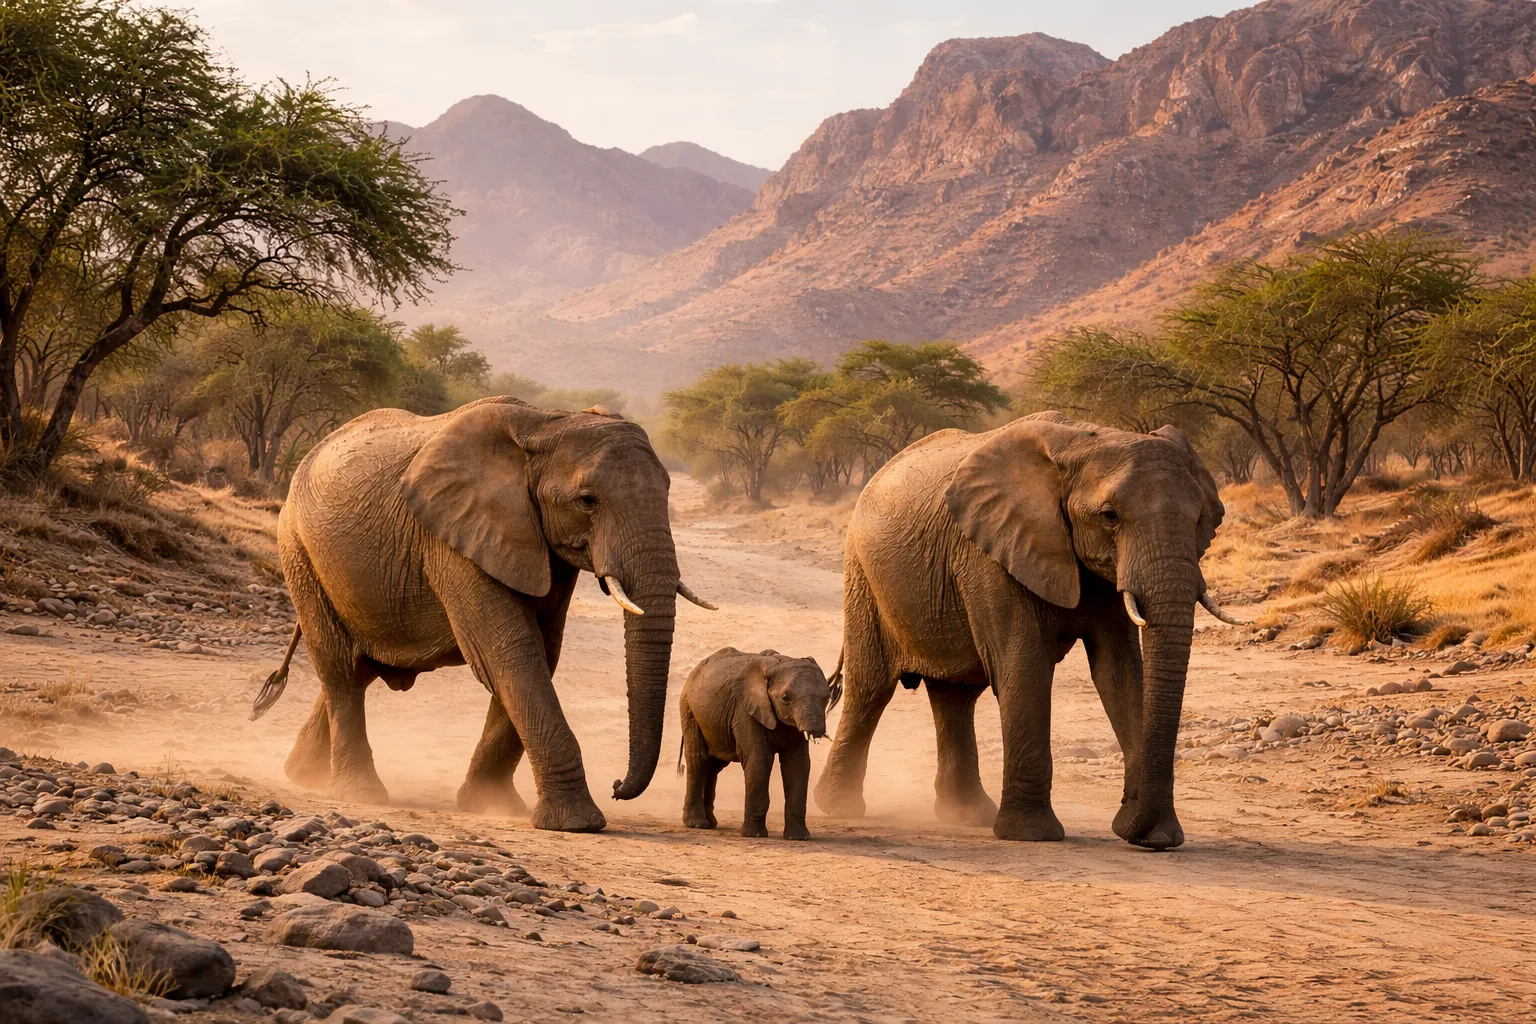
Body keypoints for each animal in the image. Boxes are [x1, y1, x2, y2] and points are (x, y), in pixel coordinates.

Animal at [251, 396, 715, 832]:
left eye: (667, 492)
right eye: (587, 501)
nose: (618, 787)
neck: (548, 424)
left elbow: (541, 652)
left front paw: (492, 805)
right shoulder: (454, 539)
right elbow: (511, 653)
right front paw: (578, 824)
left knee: (356, 668)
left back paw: (303, 774)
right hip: (298, 549)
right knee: (340, 669)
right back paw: (359, 792)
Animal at [678, 648, 839, 840]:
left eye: (827, 697)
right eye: (785, 698)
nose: (817, 732)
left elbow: (797, 765)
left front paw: (799, 838)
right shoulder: (745, 710)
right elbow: (759, 760)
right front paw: (753, 835)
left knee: (714, 766)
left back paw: (711, 823)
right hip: (689, 710)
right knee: (699, 762)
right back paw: (697, 824)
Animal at [813, 412, 1239, 849]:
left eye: (1201, 519)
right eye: (1110, 516)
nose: (1138, 828)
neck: (1082, 440)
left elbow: (1119, 674)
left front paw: (1154, 835)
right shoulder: (992, 555)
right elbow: (1025, 666)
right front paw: (1033, 835)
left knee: (955, 696)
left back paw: (968, 816)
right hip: (863, 576)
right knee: (871, 689)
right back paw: (840, 806)